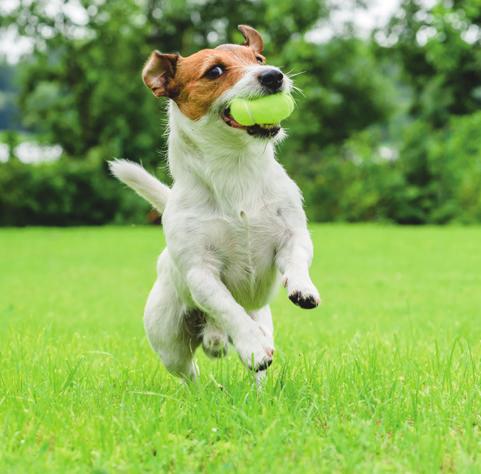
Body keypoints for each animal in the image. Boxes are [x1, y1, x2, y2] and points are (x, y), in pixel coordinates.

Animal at [109, 25, 318, 382]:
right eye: (215, 71)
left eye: (258, 58)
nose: (273, 76)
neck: (236, 170)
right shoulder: (200, 273)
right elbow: (227, 306)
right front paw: (251, 345)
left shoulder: (292, 234)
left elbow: (296, 258)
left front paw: (302, 287)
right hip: (169, 341)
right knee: (190, 372)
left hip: (261, 317)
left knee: (256, 361)